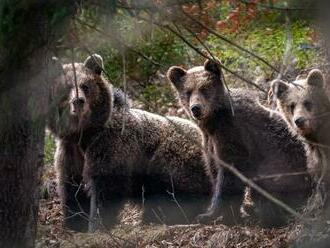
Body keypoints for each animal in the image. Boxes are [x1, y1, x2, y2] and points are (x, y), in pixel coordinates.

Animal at [47, 54, 210, 232]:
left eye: (85, 86)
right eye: (66, 87)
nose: (78, 101)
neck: (84, 135)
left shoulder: (111, 145)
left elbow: (107, 188)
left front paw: (97, 225)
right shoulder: (70, 151)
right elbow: (72, 188)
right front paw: (74, 223)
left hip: (174, 158)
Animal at [168, 58, 312, 227]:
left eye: (204, 88)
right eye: (188, 91)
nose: (196, 108)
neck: (214, 121)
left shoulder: (233, 136)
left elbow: (229, 176)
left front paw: (210, 214)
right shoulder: (210, 142)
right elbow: (214, 171)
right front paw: (229, 214)